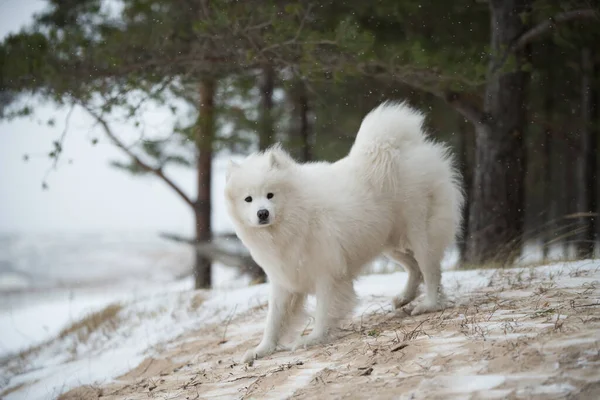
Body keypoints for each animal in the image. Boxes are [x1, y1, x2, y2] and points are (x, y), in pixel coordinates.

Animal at [225, 101, 464, 364]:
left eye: (270, 195)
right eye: (248, 199)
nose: (263, 213)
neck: (297, 214)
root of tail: (408, 147)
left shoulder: (327, 272)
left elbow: (322, 310)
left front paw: (313, 338)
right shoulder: (284, 279)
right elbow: (274, 320)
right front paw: (262, 349)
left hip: (419, 233)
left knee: (430, 271)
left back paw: (428, 304)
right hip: (387, 242)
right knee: (414, 267)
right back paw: (404, 297)